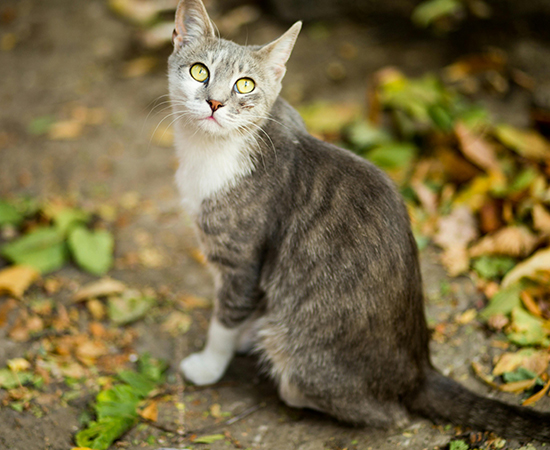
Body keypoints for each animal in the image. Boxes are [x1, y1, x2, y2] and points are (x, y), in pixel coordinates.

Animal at [168, 0, 550, 440]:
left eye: (244, 86)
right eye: (200, 72)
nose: (214, 103)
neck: (212, 150)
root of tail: (418, 371)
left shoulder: (241, 256)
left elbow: (226, 315)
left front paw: (210, 363)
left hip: (304, 358)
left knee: (379, 412)